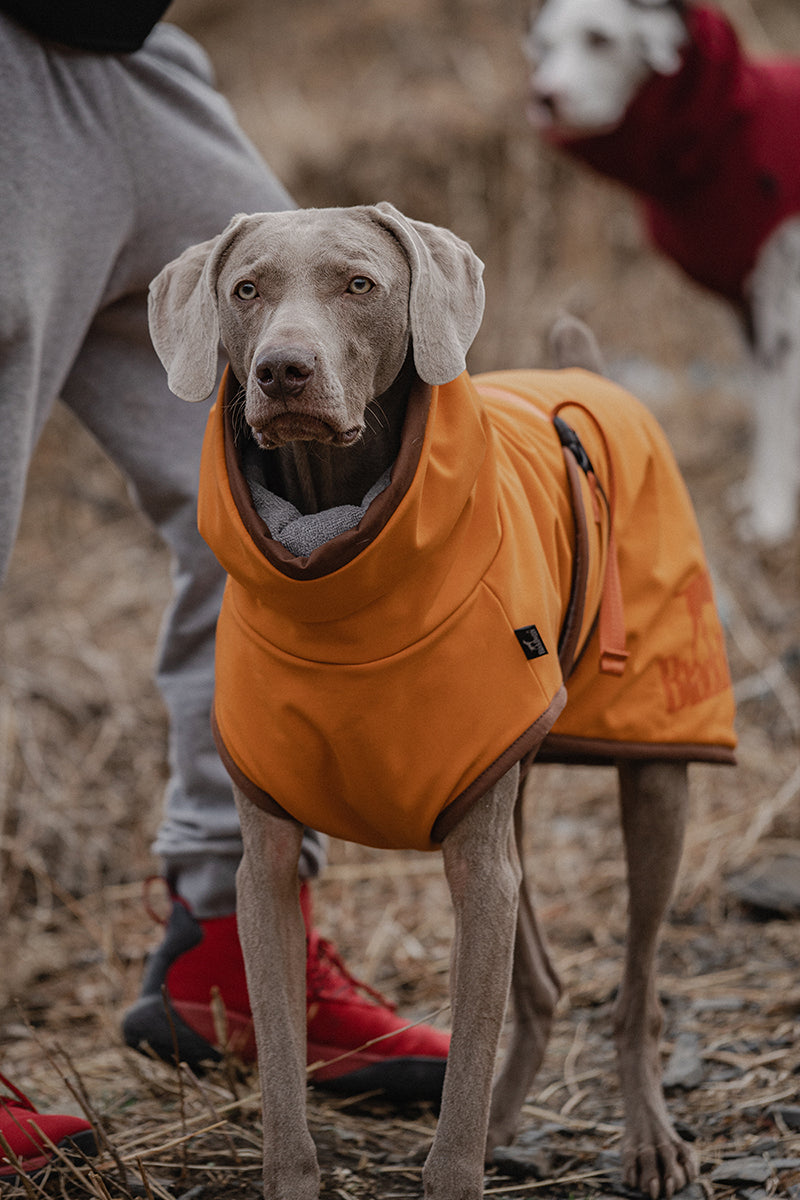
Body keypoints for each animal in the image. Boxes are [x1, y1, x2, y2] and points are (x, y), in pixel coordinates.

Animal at [145, 201, 724, 1195]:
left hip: (653, 777)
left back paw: (650, 1141)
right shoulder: (266, 867)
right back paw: (508, 1122)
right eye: (246, 289)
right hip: (513, 790)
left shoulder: (482, 872)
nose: (281, 371)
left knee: (637, 989)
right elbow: (283, 1070)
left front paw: (458, 1160)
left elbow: (461, 1085)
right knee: (542, 987)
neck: (340, 571)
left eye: (359, 284)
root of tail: (585, 368)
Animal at [525, 0, 800, 544]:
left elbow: (779, 410)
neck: (724, 128)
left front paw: (772, 515)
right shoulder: (747, 312)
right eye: (546, 44)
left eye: (600, 38)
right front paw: (762, 496)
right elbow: (765, 403)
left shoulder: (780, 304)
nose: (544, 96)